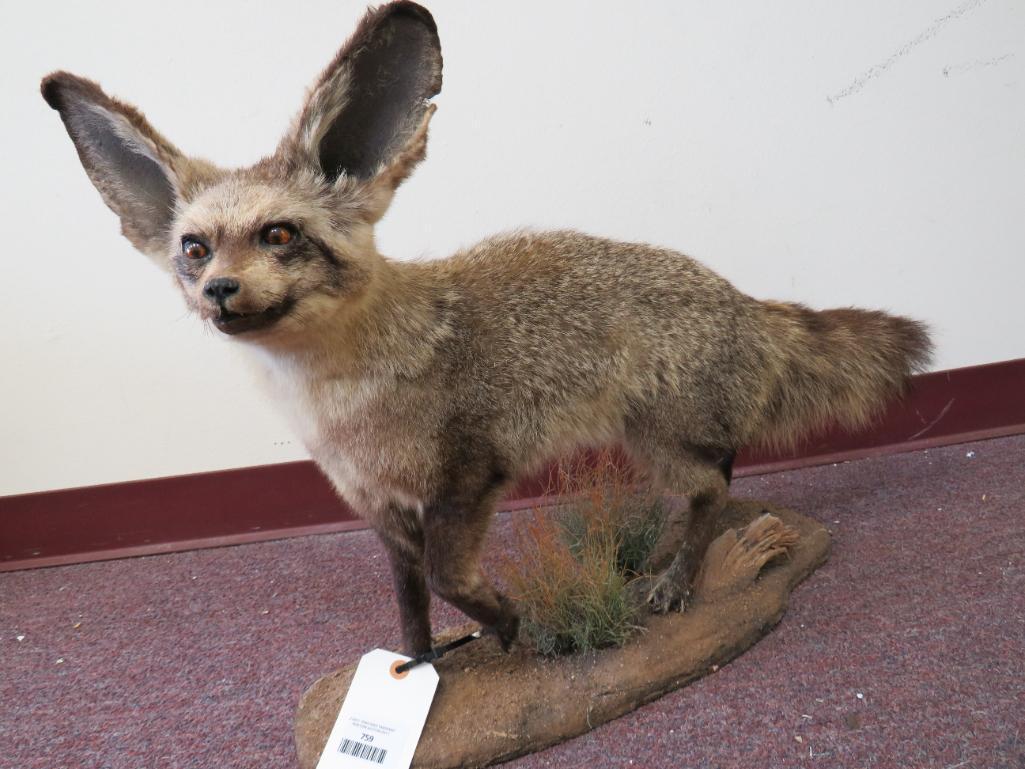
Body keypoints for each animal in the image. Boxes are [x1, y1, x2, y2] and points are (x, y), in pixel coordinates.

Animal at [42, 1, 930, 656]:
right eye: (193, 249)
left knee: (716, 485)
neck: (341, 406)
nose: (219, 291)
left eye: (279, 235)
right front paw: (417, 671)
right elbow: (407, 600)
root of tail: (739, 298)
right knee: (720, 476)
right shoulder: (375, 505)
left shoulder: (467, 477)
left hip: (658, 440)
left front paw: (508, 625)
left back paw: (675, 578)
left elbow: (450, 581)